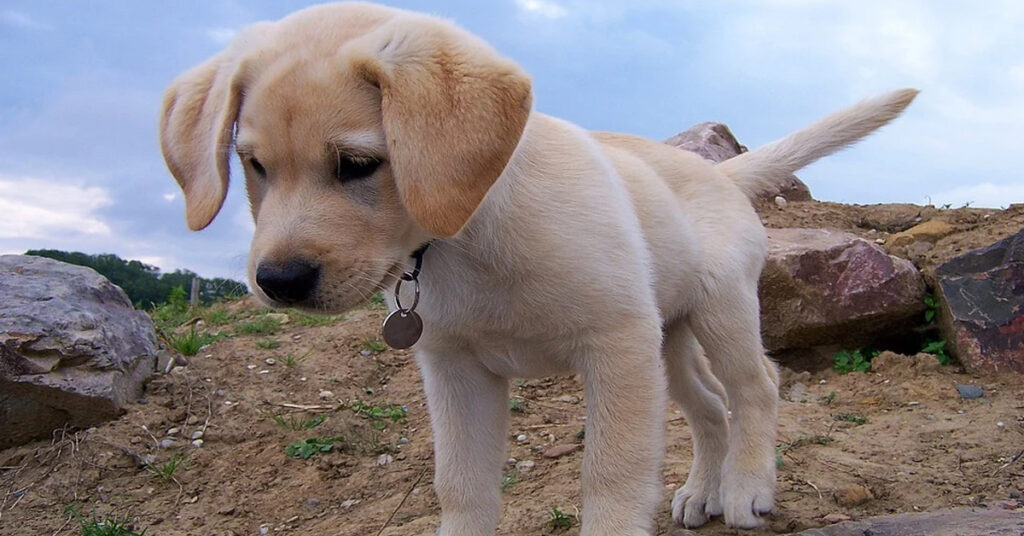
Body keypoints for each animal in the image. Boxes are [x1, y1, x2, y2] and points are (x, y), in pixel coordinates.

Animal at [161, 3, 921, 532]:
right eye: (253, 165)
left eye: (357, 164)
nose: (279, 281)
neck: (467, 238)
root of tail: (718, 170)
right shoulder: (456, 372)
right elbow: (461, 488)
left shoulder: (615, 348)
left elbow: (610, 481)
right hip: (667, 339)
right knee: (709, 408)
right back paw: (702, 490)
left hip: (719, 310)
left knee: (757, 386)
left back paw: (745, 490)